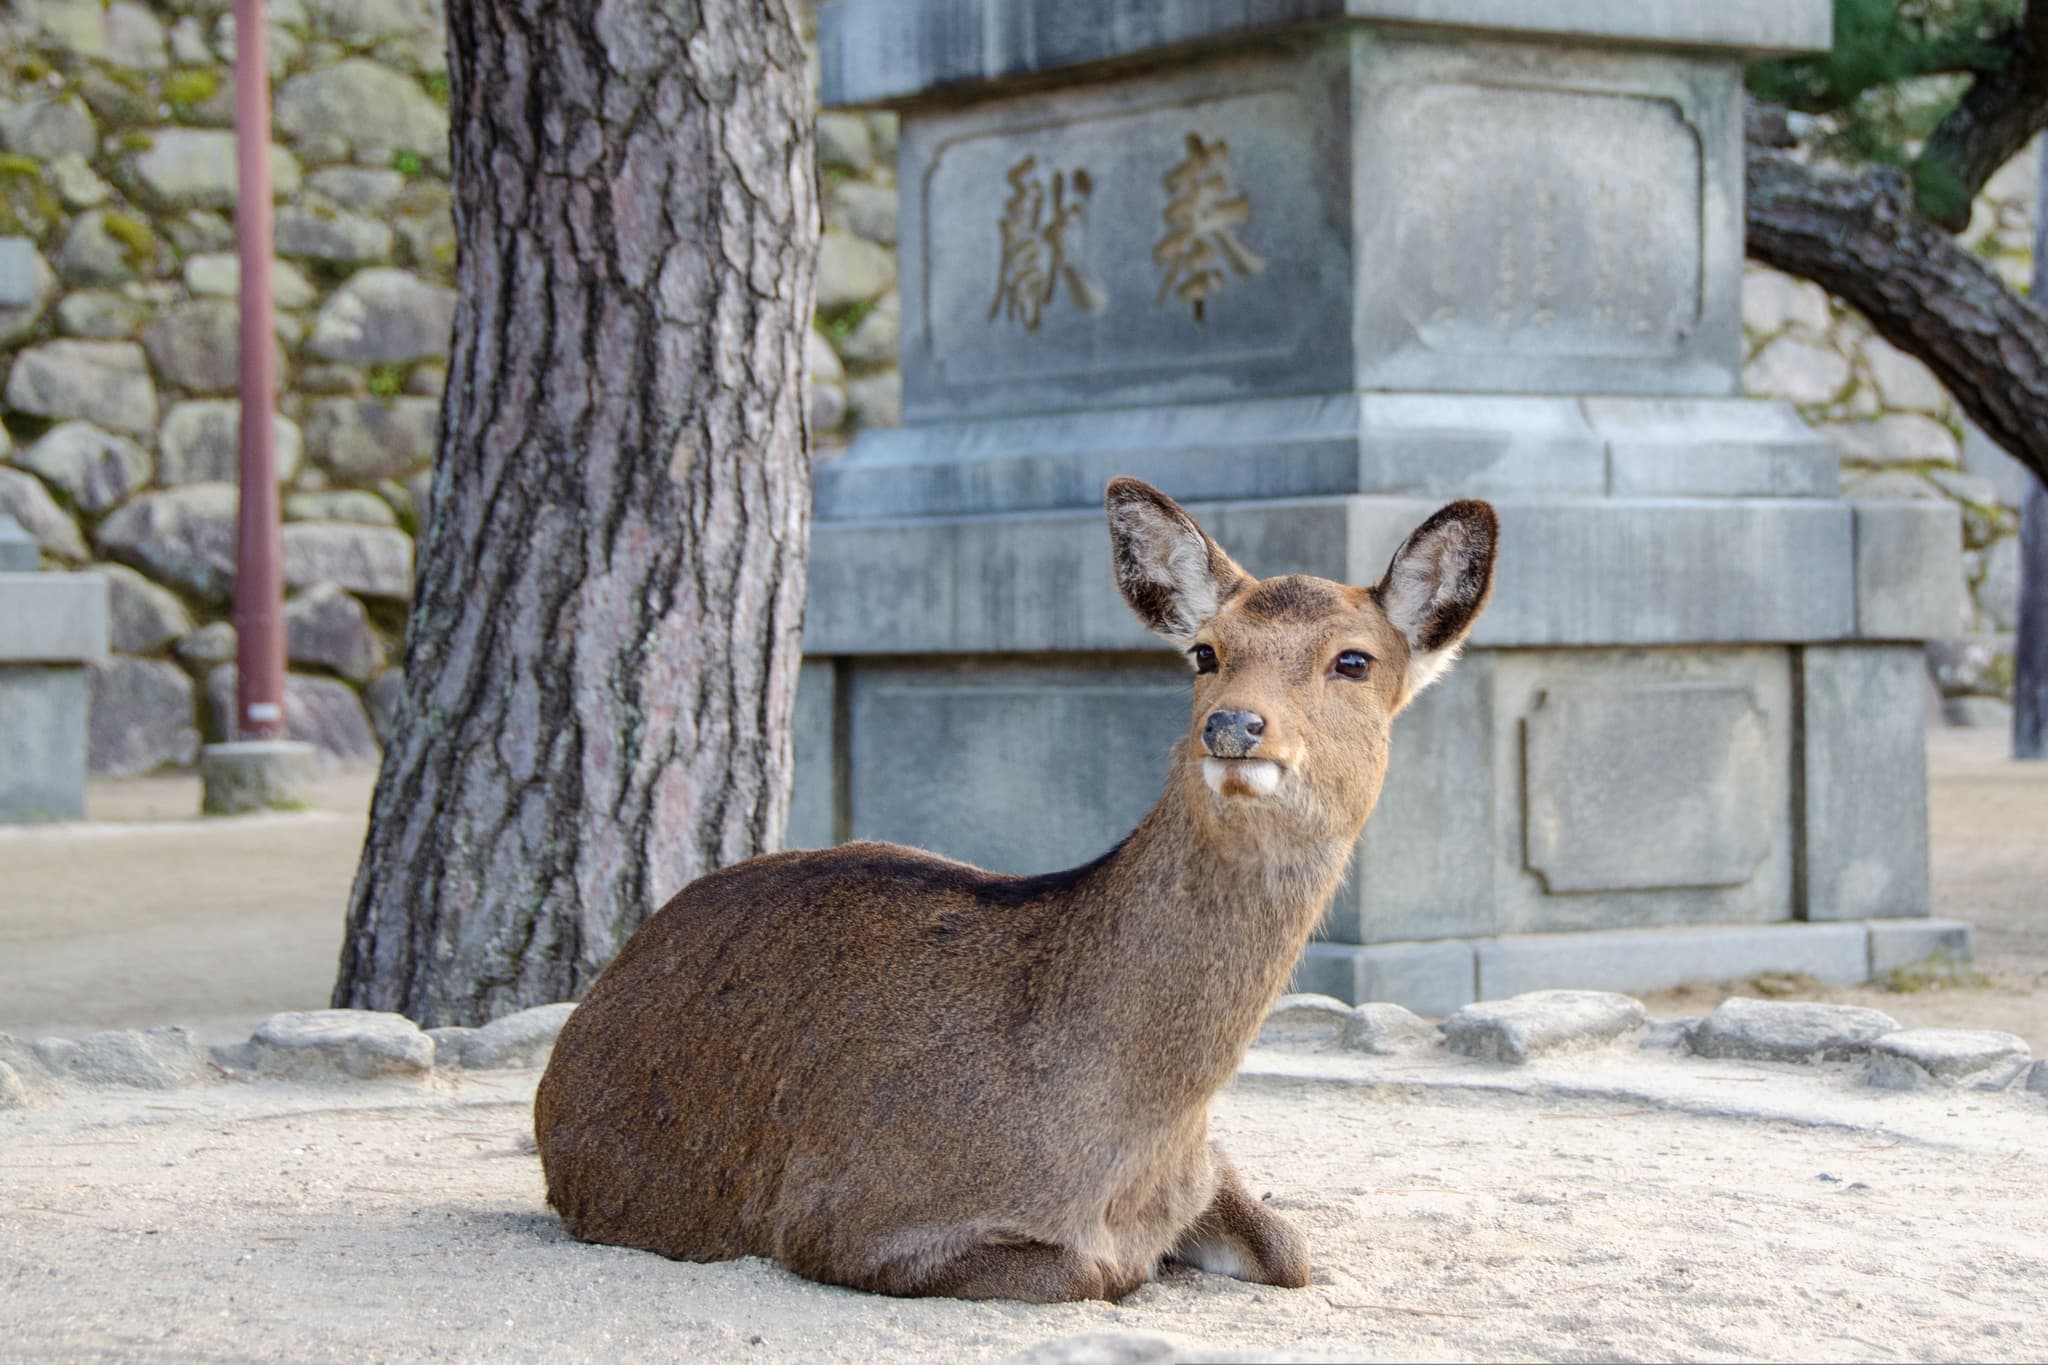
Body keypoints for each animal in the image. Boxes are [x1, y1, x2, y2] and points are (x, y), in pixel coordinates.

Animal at [534, 477, 1498, 1303]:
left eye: (1354, 660)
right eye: (1205, 651)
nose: (1234, 724)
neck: (1131, 1140)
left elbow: (1292, 1246)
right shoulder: (843, 1213)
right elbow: (1095, 1272)